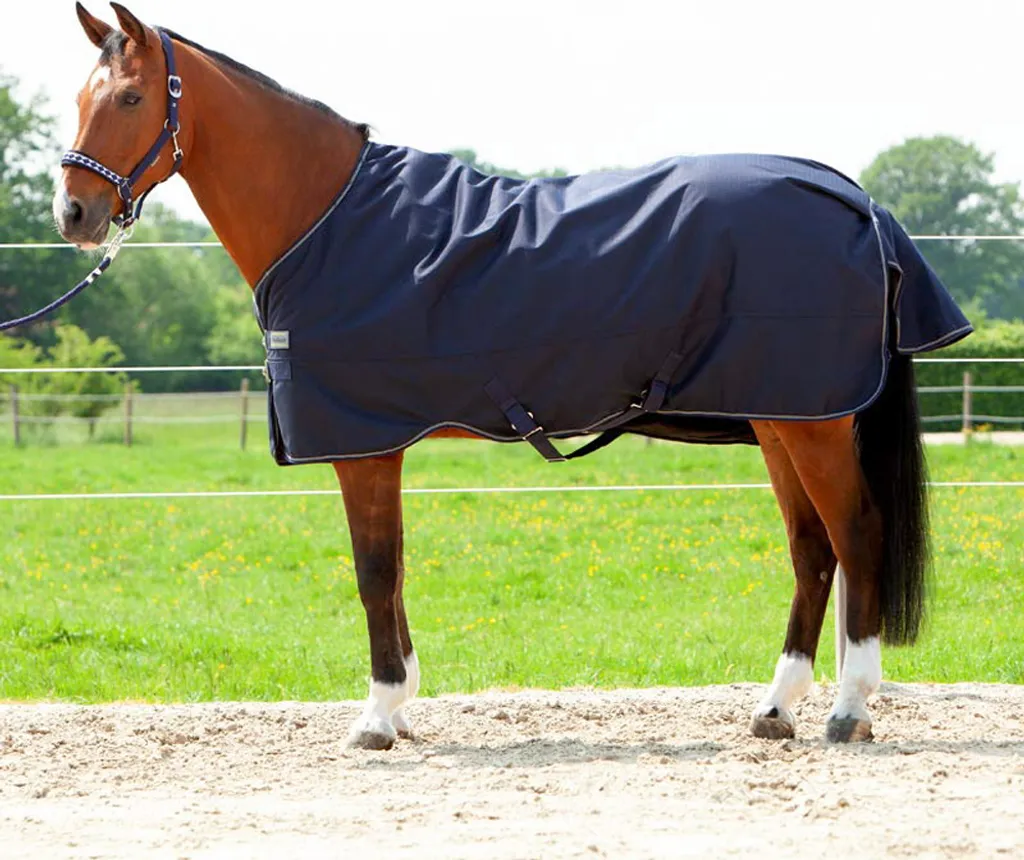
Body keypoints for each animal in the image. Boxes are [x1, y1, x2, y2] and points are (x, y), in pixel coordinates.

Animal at [55, 3, 972, 750]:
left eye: (130, 99)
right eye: (78, 100)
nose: (74, 213)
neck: (326, 219)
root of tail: (854, 199)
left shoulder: (365, 444)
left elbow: (374, 571)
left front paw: (378, 714)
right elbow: (392, 570)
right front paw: (402, 705)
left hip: (813, 421)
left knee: (857, 534)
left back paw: (848, 711)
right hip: (782, 413)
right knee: (812, 550)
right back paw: (775, 708)